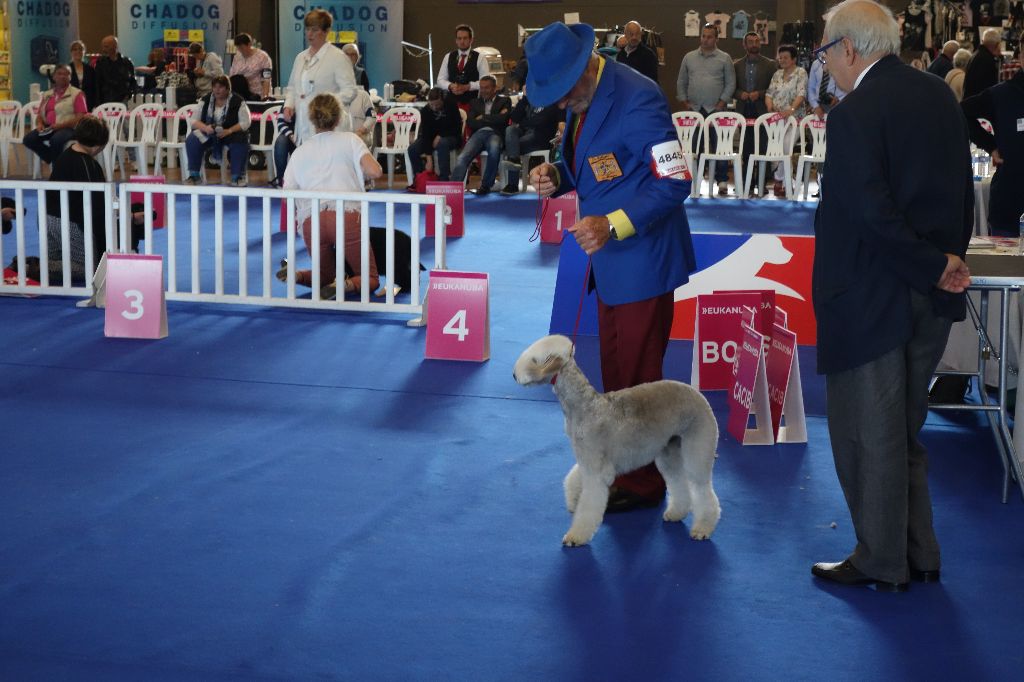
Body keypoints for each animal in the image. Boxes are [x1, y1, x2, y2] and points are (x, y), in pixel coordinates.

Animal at [512, 333, 720, 548]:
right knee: (678, 480)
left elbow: (589, 501)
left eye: (534, 359)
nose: (514, 375)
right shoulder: (586, 459)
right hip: (669, 450)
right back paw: (677, 512)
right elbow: (574, 477)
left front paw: (576, 536)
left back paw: (703, 528)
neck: (583, 405)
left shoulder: (595, 468)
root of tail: (697, 394)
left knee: (703, 489)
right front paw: (573, 500)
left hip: (698, 447)